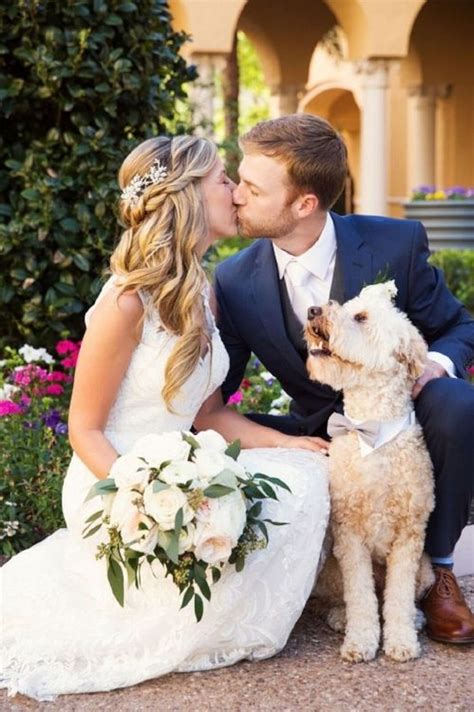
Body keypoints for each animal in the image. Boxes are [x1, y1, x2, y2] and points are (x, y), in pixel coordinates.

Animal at [308, 280, 434, 660]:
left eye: (360, 318)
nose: (313, 311)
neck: (372, 430)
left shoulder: (409, 537)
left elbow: (398, 597)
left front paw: (401, 640)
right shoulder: (349, 536)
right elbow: (361, 597)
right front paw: (362, 640)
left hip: (427, 569)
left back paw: (416, 618)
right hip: (330, 570)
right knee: (350, 597)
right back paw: (340, 616)